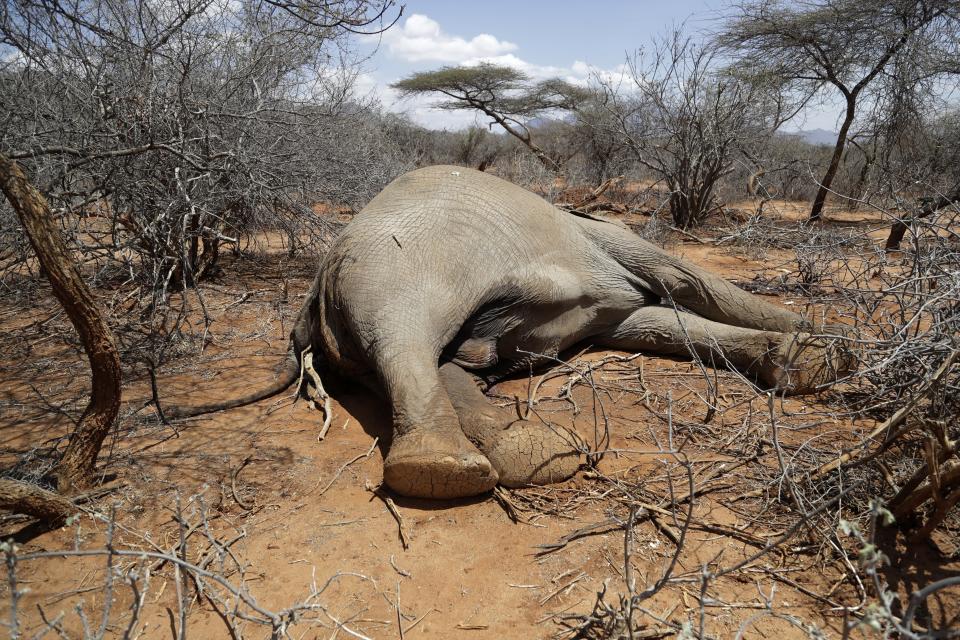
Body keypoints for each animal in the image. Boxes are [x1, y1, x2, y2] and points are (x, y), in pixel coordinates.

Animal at [176, 165, 852, 500]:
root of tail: (311, 293)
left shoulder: (608, 294)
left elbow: (658, 324)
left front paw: (805, 358)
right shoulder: (610, 241)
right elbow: (682, 281)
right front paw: (820, 346)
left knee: (434, 361)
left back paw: (527, 453)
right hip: (394, 262)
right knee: (407, 338)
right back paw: (449, 470)